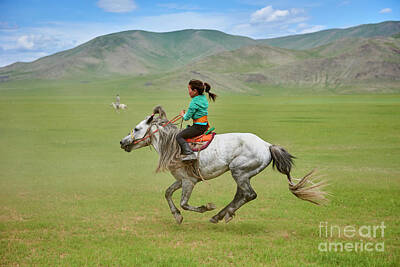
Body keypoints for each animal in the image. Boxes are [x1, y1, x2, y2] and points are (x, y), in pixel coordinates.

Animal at [119, 105, 328, 225]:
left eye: (136, 129)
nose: (122, 142)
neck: (172, 145)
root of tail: (267, 145)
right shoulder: (182, 179)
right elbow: (168, 193)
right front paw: (177, 216)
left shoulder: (189, 182)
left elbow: (184, 203)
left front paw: (206, 207)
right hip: (243, 174)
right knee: (242, 195)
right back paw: (221, 215)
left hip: (239, 171)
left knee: (249, 195)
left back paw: (218, 214)